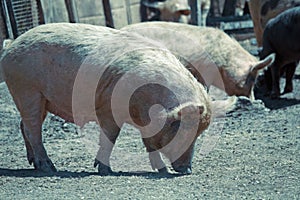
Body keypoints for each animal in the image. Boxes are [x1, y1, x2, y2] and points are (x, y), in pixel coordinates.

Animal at [0, 22, 211, 174]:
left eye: (199, 133)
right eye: (183, 129)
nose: (187, 170)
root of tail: (11, 45)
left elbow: (149, 144)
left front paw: (162, 170)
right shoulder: (108, 109)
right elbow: (110, 137)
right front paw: (106, 170)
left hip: (40, 99)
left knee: (23, 126)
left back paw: (34, 163)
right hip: (27, 91)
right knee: (32, 129)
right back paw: (48, 167)